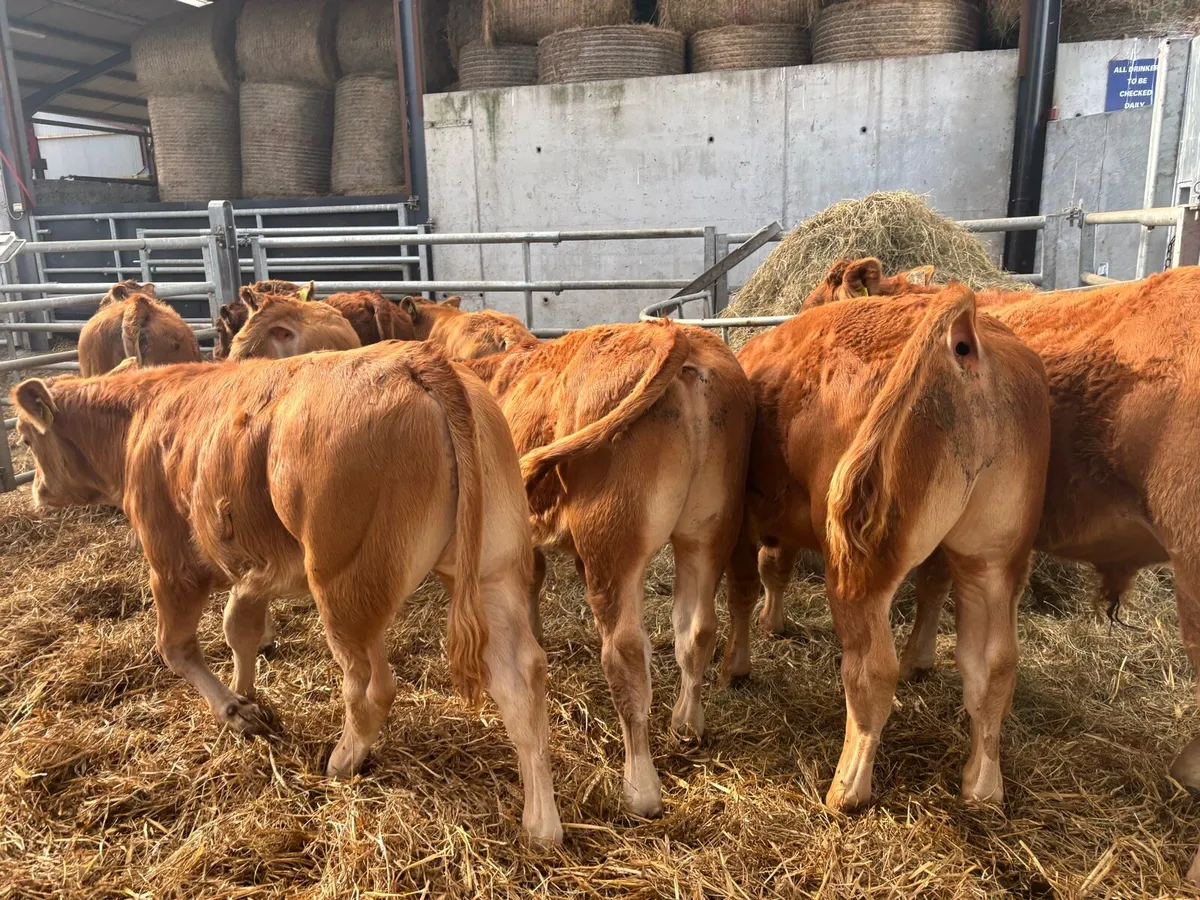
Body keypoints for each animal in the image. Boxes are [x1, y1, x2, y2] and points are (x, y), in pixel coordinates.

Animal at [10, 343, 562, 844]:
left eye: (25, 436)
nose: (37, 491)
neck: (141, 418)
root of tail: (419, 358)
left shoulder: (171, 561)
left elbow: (176, 647)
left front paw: (233, 712)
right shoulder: (253, 570)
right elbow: (240, 630)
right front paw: (246, 694)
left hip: (343, 584)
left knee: (370, 687)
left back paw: (340, 763)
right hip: (493, 570)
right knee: (520, 679)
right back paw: (542, 827)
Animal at [407, 297, 754, 817]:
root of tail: (678, 338)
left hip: (612, 542)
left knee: (626, 655)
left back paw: (641, 788)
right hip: (708, 531)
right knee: (696, 630)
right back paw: (687, 724)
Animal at [724, 282, 1050, 816]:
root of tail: (964, 339)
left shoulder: (741, 519)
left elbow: (744, 588)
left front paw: (735, 667)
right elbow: (776, 569)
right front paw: (774, 623)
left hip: (860, 566)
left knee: (871, 671)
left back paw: (846, 789)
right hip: (994, 557)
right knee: (994, 665)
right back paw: (982, 787)